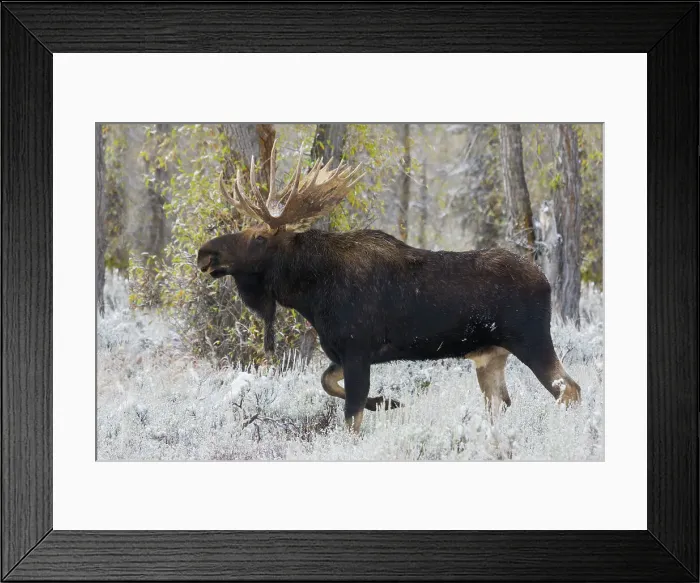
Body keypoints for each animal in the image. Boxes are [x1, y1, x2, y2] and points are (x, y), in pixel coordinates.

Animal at [197, 141, 581, 433]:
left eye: (259, 237)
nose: (205, 253)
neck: (311, 294)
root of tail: (545, 280)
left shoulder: (356, 349)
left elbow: (351, 419)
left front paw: (380, 405)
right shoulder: (344, 354)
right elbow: (327, 383)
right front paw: (388, 401)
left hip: (531, 339)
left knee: (569, 389)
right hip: (490, 355)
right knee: (501, 403)